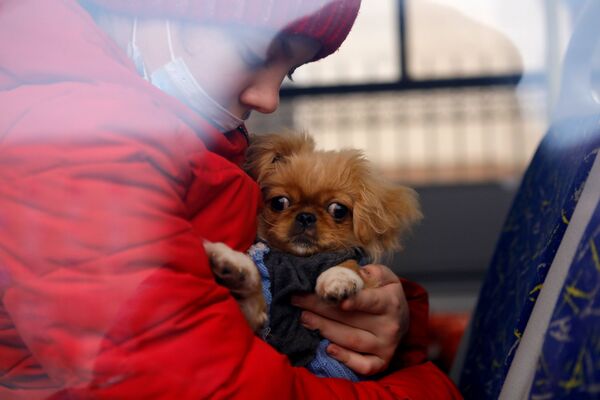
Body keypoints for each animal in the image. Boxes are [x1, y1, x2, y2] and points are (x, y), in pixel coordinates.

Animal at [204, 132, 420, 332]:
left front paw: (338, 277)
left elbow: (349, 263)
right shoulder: (259, 320)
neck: (298, 262)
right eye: (279, 202)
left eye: (338, 210)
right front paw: (232, 261)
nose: (306, 216)